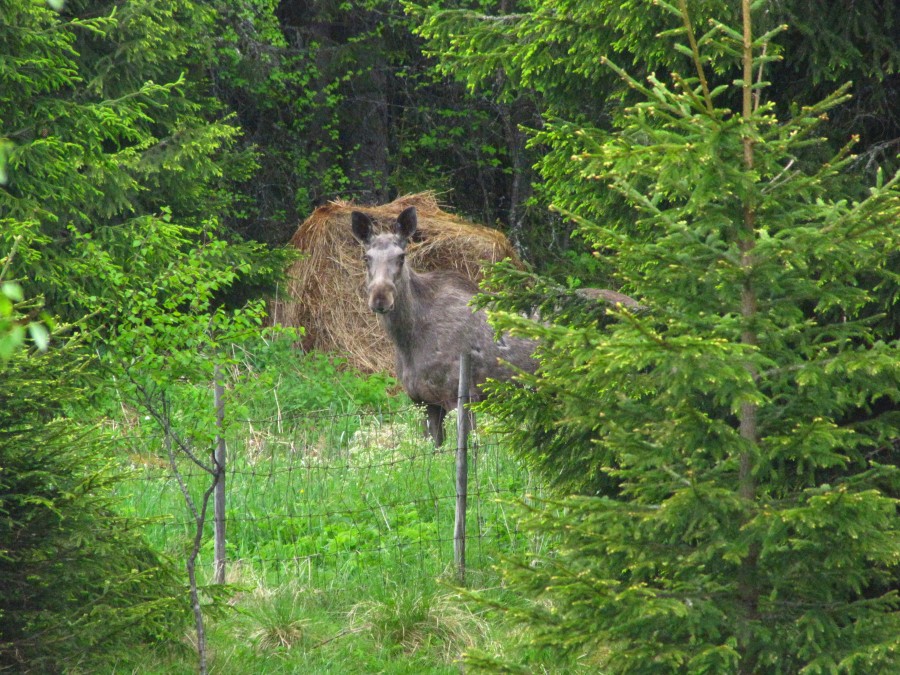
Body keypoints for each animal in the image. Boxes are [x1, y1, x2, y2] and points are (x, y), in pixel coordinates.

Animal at [350, 206, 536, 448]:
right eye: (366, 257)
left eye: (401, 257)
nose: (380, 298)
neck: (406, 342)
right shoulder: (423, 402)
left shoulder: (462, 396)